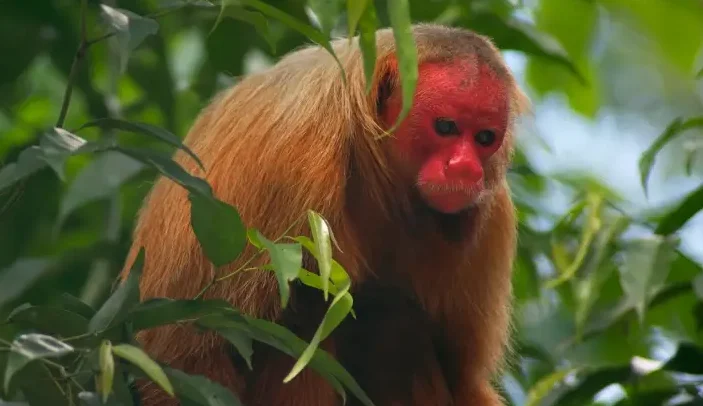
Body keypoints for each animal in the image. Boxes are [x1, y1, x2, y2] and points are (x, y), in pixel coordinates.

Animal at [122, 23, 528, 406]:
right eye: (446, 127)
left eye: (485, 138)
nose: (465, 169)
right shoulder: (288, 159)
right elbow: (182, 348)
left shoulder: (492, 215)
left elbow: (463, 379)